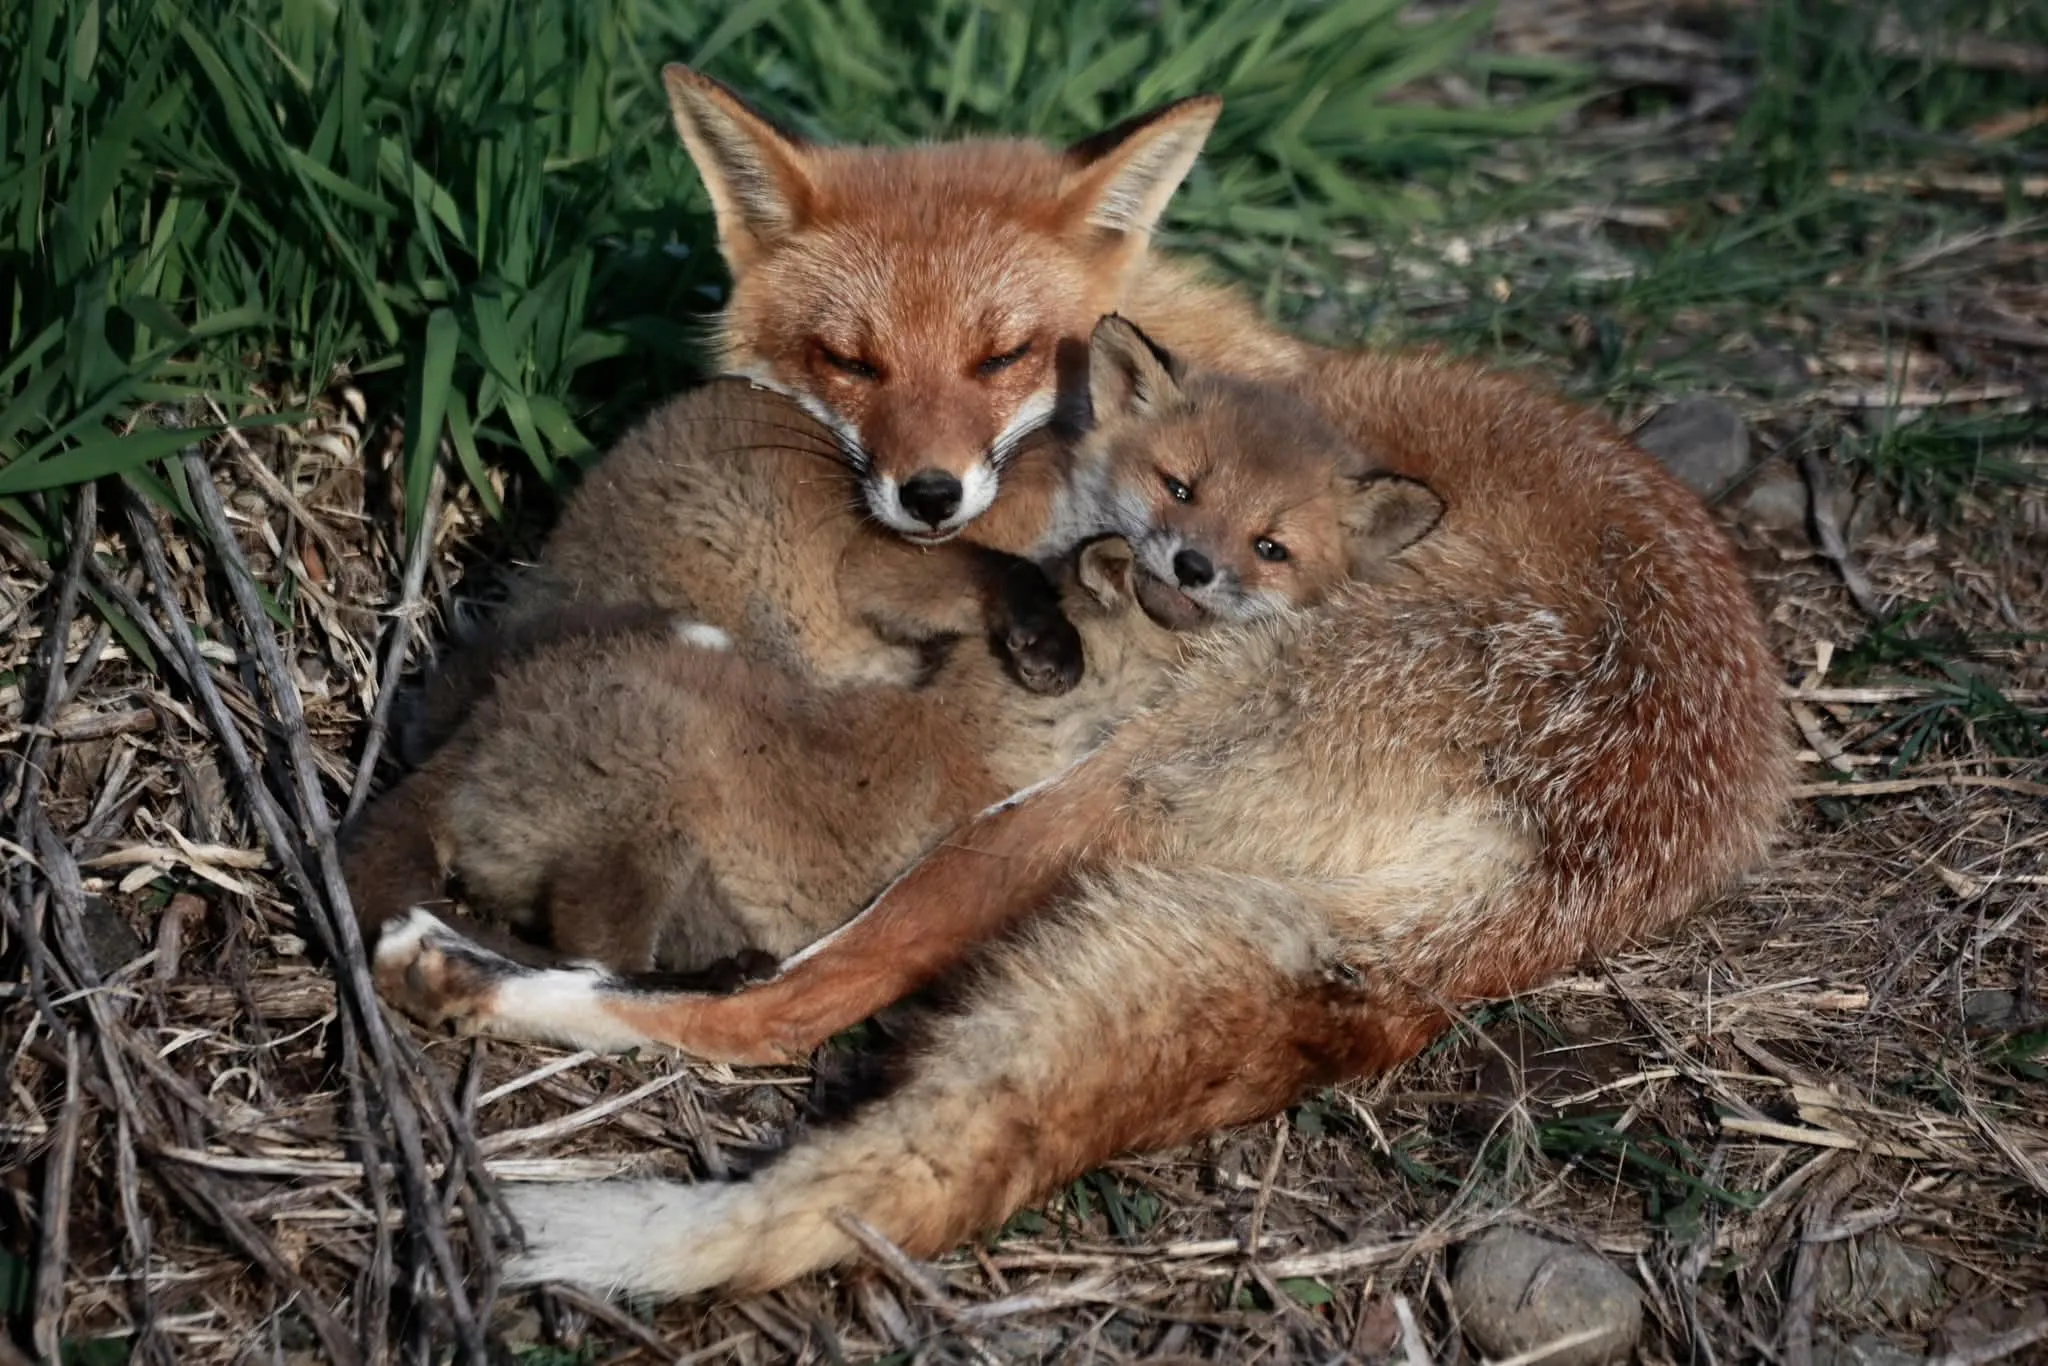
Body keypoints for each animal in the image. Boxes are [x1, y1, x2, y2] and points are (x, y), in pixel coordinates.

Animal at [379, 339, 1798, 1304]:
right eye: (1175, 485)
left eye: (1266, 542)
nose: (1190, 566)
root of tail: (1561, 848)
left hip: (1083, 791)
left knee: (784, 1004)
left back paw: (461, 975)